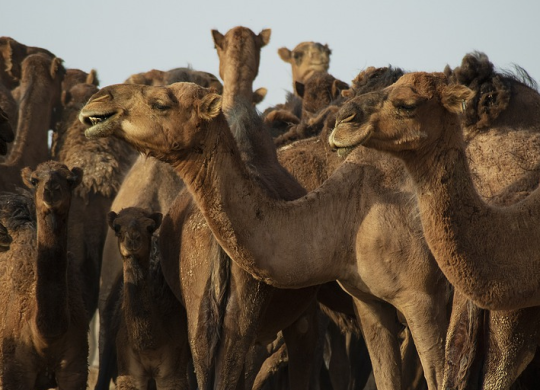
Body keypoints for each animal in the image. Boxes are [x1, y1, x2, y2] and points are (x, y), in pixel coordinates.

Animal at [0, 160, 88, 388]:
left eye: (70, 180)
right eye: (34, 180)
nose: (51, 189)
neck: (47, 335)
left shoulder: (75, 370)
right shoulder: (13, 372)